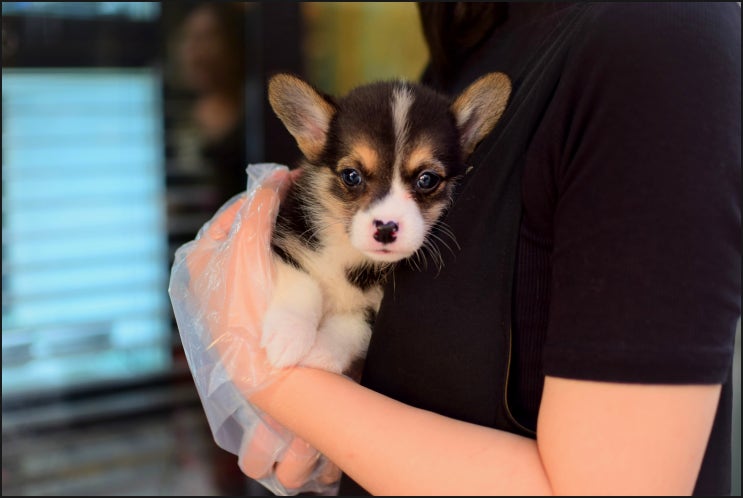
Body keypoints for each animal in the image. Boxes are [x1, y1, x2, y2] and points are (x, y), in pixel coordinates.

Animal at [262, 73, 512, 374]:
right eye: (351, 176)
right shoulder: (288, 238)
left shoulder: (375, 312)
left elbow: (351, 327)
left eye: (427, 179)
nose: (385, 229)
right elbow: (302, 283)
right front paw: (287, 335)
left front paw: (319, 354)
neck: (355, 259)